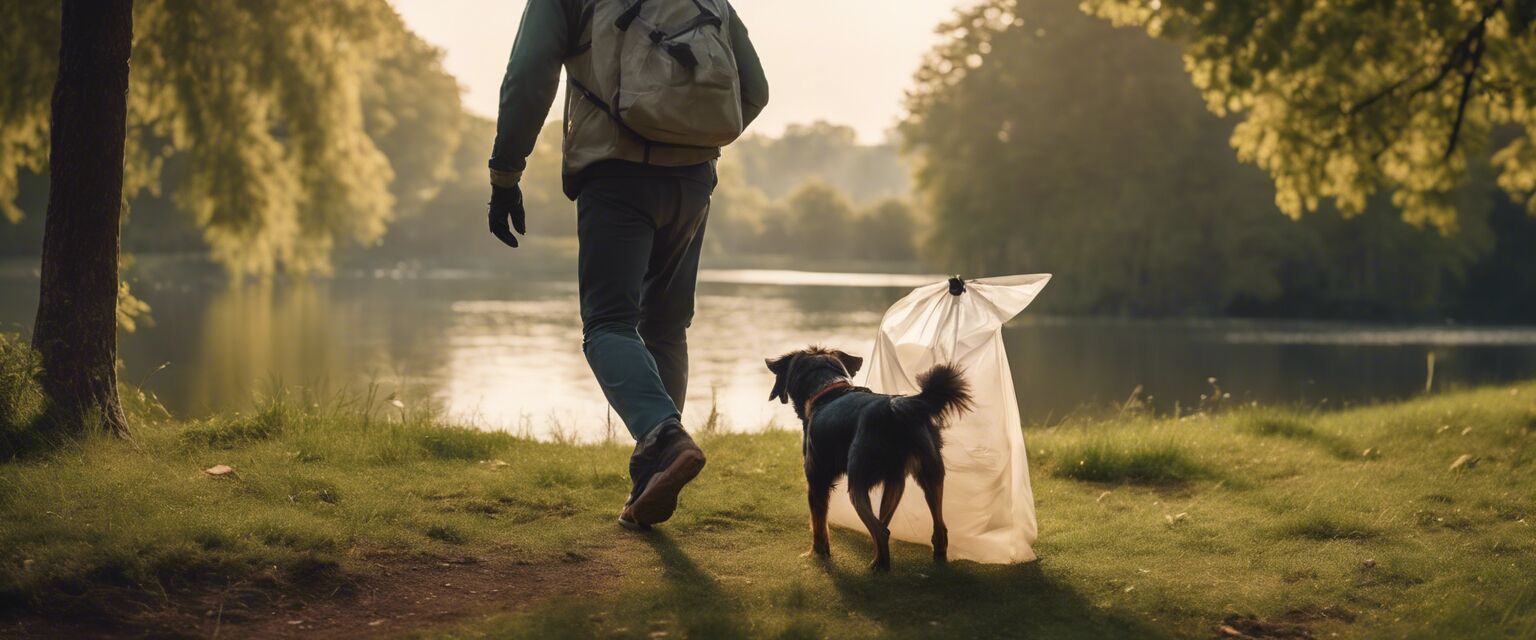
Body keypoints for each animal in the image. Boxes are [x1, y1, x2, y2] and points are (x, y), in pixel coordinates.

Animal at [764, 346, 970, 564]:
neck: (828, 389)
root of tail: (896, 407)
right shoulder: (893, 478)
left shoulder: (816, 481)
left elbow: (819, 527)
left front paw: (816, 556)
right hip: (929, 475)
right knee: (936, 528)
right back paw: (936, 560)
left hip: (857, 484)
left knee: (881, 531)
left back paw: (879, 565)